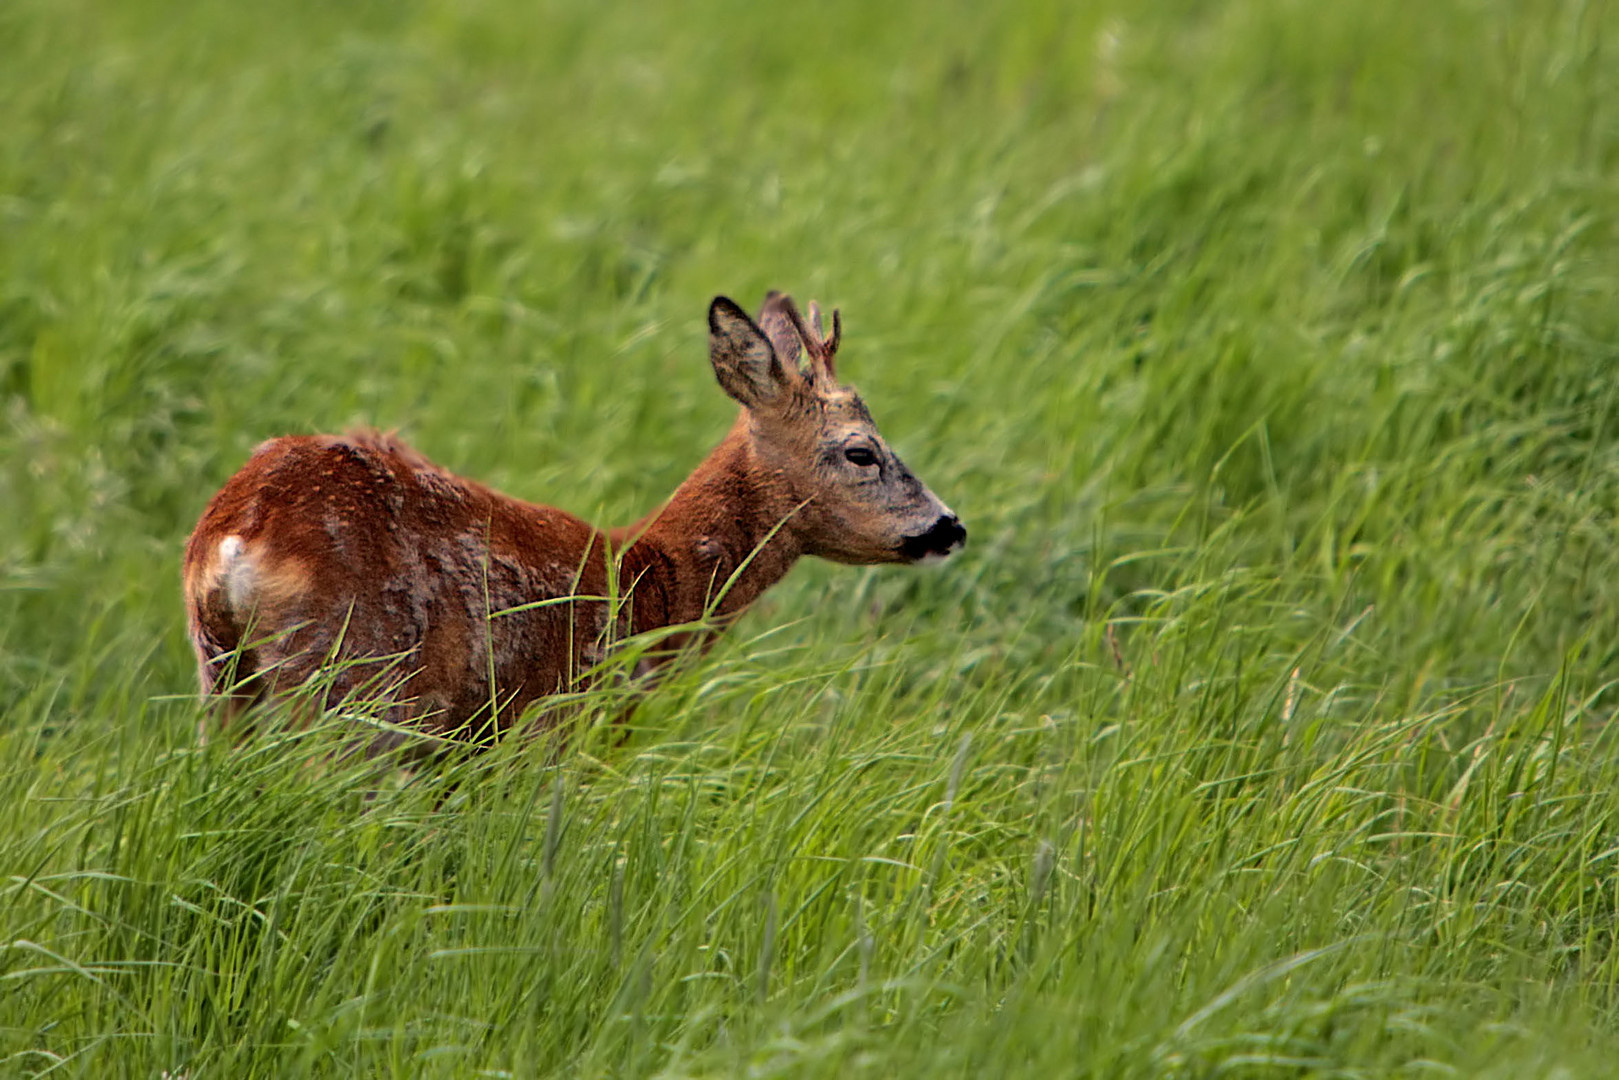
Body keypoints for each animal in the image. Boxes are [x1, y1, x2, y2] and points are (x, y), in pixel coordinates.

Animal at [180, 293, 958, 744]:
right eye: (861, 450)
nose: (951, 526)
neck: (649, 579)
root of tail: (239, 532)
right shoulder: (555, 725)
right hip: (357, 682)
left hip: (223, 680)